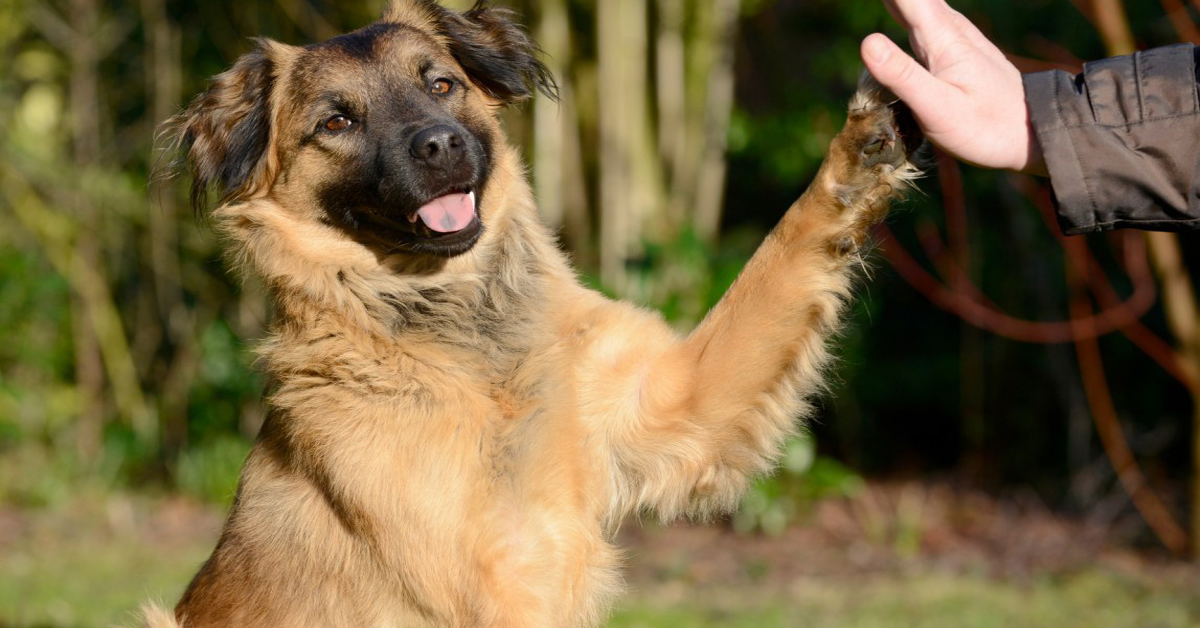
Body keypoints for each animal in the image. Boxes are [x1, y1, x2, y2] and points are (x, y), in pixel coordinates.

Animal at [147, 1, 916, 624]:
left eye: (441, 84)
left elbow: (782, 253)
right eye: (336, 121)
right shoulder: (500, 573)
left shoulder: (675, 403)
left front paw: (859, 157)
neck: (474, 347)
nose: (440, 145)